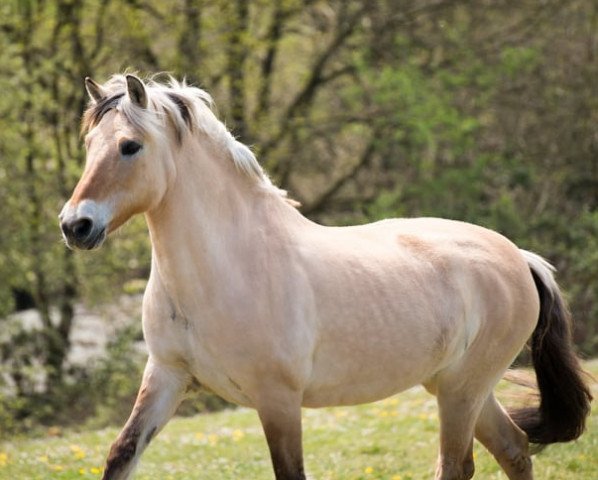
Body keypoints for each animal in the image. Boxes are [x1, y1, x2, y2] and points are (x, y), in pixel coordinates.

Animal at [58, 73, 592, 478]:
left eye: (130, 146)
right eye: (89, 144)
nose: (75, 225)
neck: (229, 267)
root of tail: (519, 256)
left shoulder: (278, 401)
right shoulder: (166, 377)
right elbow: (120, 456)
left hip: (462, 391)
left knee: (459, 465)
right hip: (457, 387)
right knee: (515, 450)